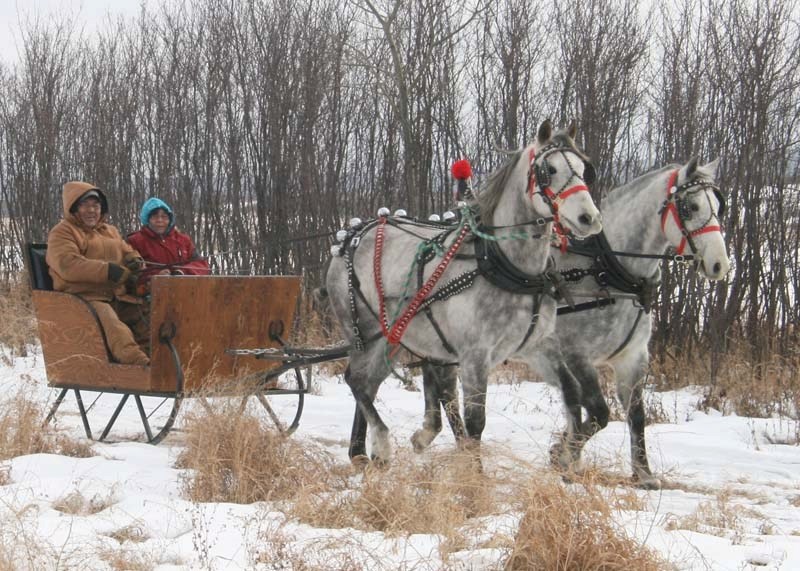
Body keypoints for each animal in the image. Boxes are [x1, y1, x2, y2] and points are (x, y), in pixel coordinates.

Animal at [324, 120, 600, 464]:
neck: (507, 266)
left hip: (393, 340)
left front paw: (567, 457)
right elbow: (475, 422)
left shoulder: (537, 346)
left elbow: (572, 394)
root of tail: (350, 237)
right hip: (364, 331)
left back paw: (362, 452)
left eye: (584, 169)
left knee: (369, 384)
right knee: (356, 381)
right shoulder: (474, 356)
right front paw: (473, 472)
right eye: (548, 170)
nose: (589, 219)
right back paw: (382, 443)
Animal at [410, 159, 728, 490]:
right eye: (690, 207)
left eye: (719, 205)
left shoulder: (633, 357)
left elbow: (634, 414)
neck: (607, 271)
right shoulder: (574, 354)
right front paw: (564, 455)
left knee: (440, 380)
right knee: (445, 388)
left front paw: (642, 474)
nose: (720, 264)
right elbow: (598, 410)